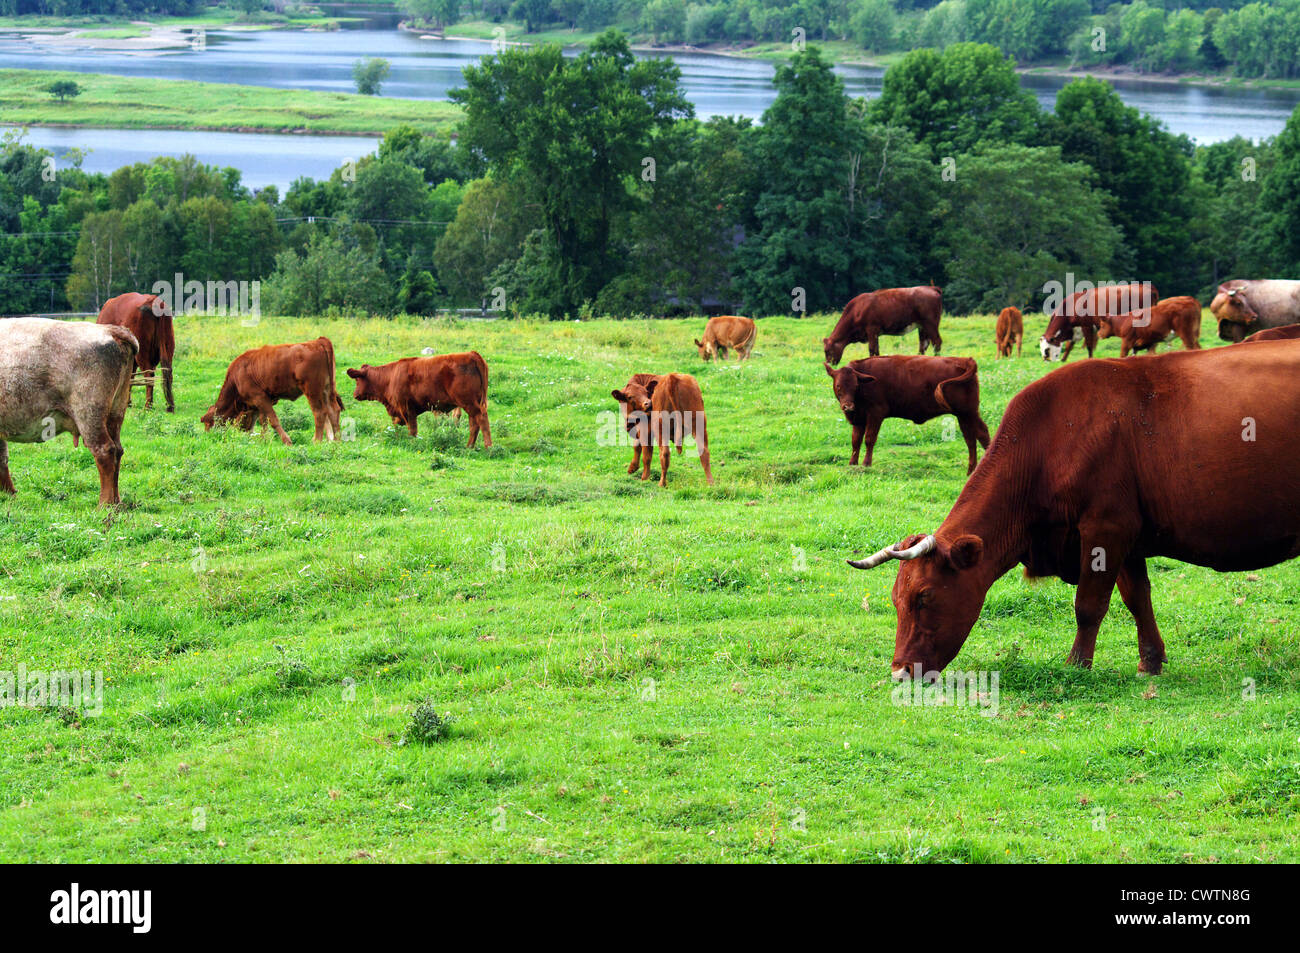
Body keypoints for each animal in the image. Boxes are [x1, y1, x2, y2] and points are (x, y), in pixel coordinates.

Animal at [0, 318, 137, 506]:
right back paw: (117, 501)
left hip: (88, 414)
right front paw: (9, 495)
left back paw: (105, 504)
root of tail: (110, 330)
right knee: (118, 450)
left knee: (105, 450)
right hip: (116, 412)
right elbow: (2, 459)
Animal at [202, 337, 343, 445]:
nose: (209, 438)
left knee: (319, 413)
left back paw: (316, 441)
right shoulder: (259, 403)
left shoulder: (260, 398)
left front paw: (287, 441)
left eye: (209, 424)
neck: (236, 378)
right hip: (326, 391)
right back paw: (337, 441)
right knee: (333, 411)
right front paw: (264, 440)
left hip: (313, 391)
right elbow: (262, 420)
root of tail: (318, 341)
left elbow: (273, 420)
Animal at [346, 352, 491, 449]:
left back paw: (488, 447)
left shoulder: (406, 409)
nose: (355, 394)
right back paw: (469, 446)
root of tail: (472, 354)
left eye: (357, 380)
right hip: (472, 403)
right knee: (474, 423)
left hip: (469, 403)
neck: (391, 377)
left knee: (481, 418)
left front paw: (412, 443)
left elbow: (412, 430)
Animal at [825, 356, 990, 474]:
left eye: (855, 386)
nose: (848, 406)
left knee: (980, 434)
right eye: (838, 386)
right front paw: (852, 464)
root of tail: (964, 360)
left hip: (968, 413)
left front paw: (866, 464)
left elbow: (869, 439)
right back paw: (971, 471)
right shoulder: (859, 419)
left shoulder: (876, 414)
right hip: (964, 415)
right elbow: (855, 441)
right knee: (972, 439)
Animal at [847, 340, 1300, 679]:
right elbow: (1138, 598)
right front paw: (1150, 661)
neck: (1048, 440)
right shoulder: (1129, 537)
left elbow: (1089, 604)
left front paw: (1076, 665)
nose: (900, 671)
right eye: (895, 598)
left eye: (924, 596)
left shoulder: (1105, 529)